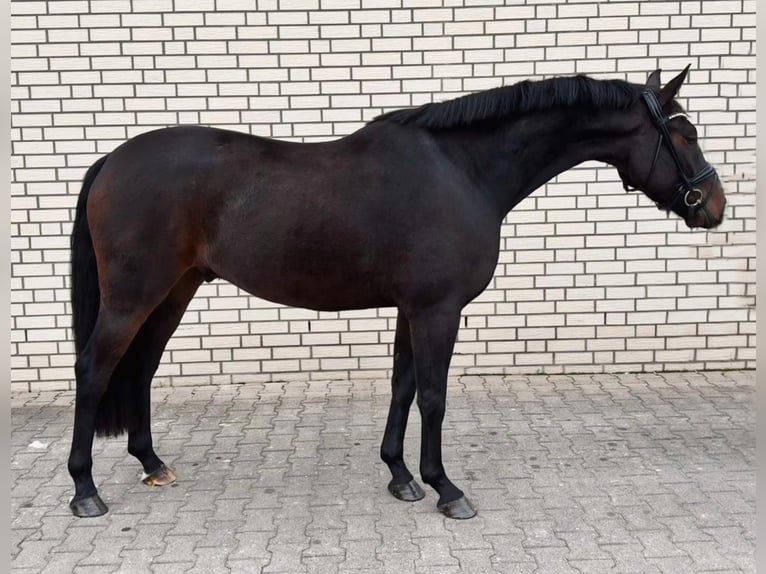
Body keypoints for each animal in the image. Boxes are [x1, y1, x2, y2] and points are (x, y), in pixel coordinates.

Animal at [67, 68, 728, 520]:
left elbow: (403, 386)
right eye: (685, 134)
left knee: (141, 367)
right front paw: (445, 488)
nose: (714, 207)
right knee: (96, 369)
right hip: (134, 295)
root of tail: (110, 161)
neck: (462, 171)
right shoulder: (439, 310)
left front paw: (400, 476)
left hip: (173, 291)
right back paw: (85, 490)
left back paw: (153, 465)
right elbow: (433, 396)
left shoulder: (415, 309)